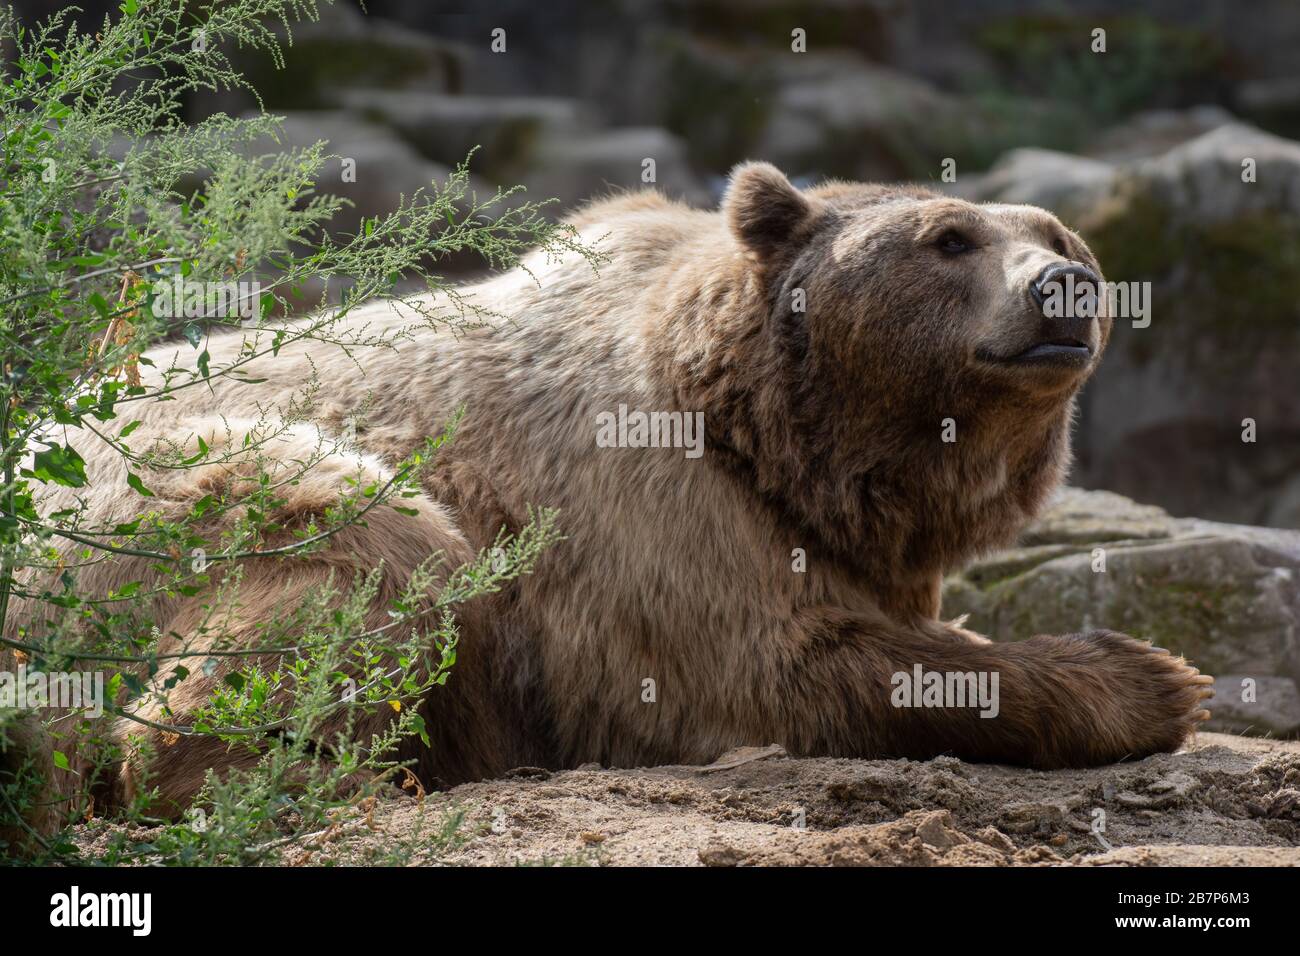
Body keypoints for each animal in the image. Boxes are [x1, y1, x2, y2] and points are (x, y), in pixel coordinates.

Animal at [5, 164, 1211, 832]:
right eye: (949, 237)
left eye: (1058, 235)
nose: (1064, 287)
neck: (777, 438)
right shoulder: (639, 511)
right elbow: (776, 668)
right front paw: (1152, 674)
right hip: (160, 502)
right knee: (372, 548)